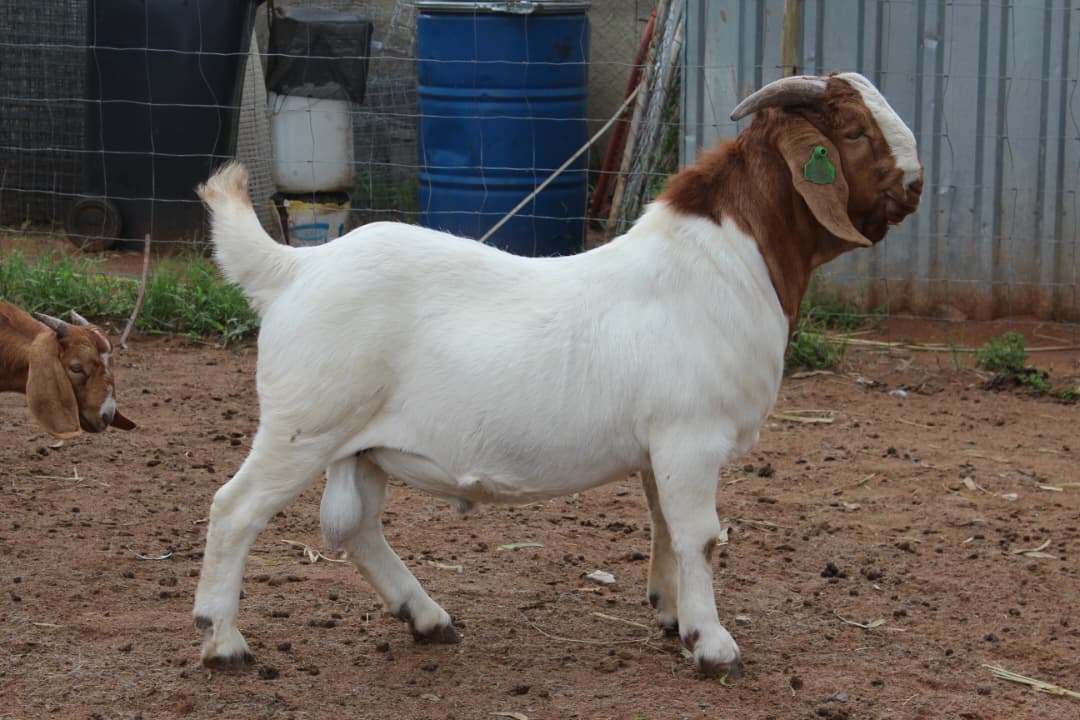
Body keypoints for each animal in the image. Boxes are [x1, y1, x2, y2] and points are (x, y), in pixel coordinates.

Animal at [193, 72, 922, 677]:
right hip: (304, 425)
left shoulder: (660, 446)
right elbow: (701, 536)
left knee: (354, 528)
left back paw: (427, 618)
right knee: (235, 509)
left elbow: (664, 525)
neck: (725, 262)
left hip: (360, 446)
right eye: (854, 132)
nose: (915, 186)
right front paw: (713, 646)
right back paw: (223, 641)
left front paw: (673, 615)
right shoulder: (691, 437)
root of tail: (295, 269)